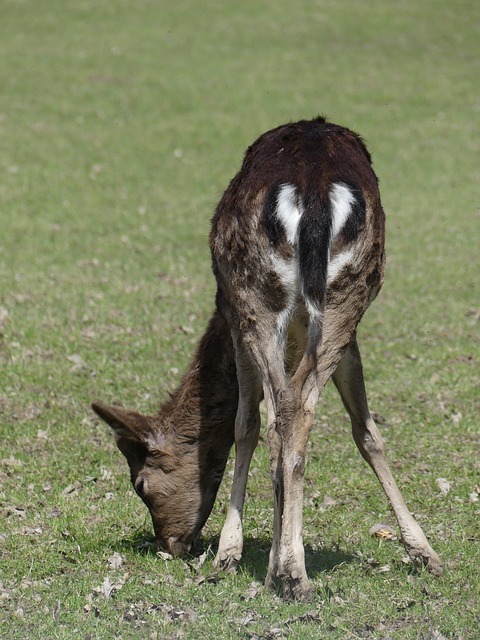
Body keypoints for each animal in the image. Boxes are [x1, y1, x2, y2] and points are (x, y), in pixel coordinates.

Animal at [92, 115, 444, 600]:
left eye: (141, 485)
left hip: (254, 295)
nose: (170, 544)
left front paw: (233, 554)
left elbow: (247, 425)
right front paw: (423, 552)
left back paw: (283, 570)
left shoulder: (233, 315)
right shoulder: (337, 335)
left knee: (281, 413)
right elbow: (364, 430)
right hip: (344, 297)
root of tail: (313, 195)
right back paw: (295, 572)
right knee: (298, 410)